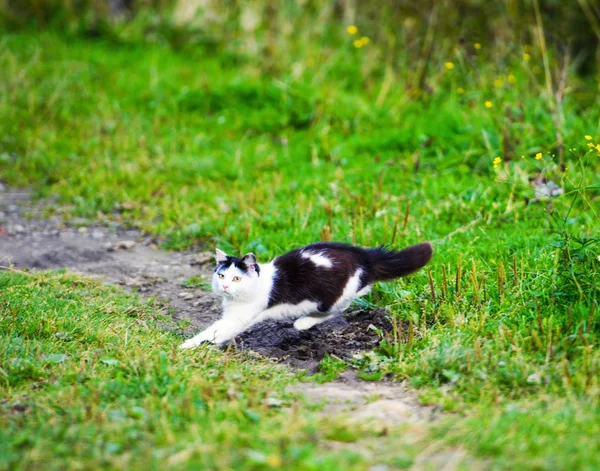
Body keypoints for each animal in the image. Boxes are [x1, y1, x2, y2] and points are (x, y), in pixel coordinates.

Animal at [178, 242, 432, 348]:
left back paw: (302, 322)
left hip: (335, 296)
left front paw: (187, 345)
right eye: (221, 276)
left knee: (338, 308)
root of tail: (364, 256)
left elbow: (214, 332)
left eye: (237, 279)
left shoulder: (236, 319)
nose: (225, 287)